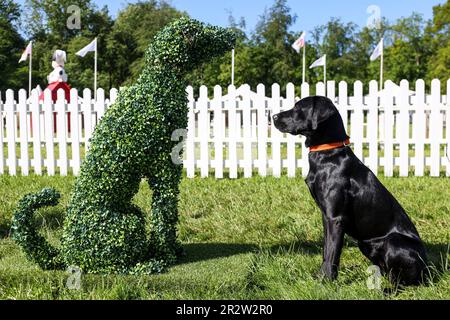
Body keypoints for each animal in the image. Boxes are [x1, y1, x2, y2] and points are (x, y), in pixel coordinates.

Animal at [11, 17, 236, 274]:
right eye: (199, 30)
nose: (232, 35)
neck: (160, 81)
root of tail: (65, 251)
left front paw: (168, 249)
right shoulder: (164, 166)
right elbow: (165, 212)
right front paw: (166, 253)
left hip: (132, 212)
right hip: (125, 226)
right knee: (112, 266)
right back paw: (148, 264)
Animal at [272, 96, 428, 286]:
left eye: (298, 108)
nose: (273, 116)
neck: (328, 153)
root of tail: (428, 267)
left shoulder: (336, 218)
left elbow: (333, 253)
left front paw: (326, 282)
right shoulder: (326, 217)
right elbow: (326, 251)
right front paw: (319, 277)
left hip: (393, 241)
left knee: (404, 281)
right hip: (365, 244)